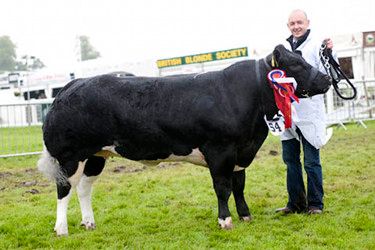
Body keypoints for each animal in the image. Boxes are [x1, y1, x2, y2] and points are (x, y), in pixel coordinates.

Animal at [39, 44, 332, 234]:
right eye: (295, 64)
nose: (327, 79)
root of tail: (73, 85)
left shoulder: (241, 152)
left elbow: (239, 185)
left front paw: (245, 215)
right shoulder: (220, 150)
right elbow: (223, 187)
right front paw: (225, 221)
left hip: (96, 155)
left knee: (84, 188)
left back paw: (89, 223)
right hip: (70, 156)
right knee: (64, 189)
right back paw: (61, 228)